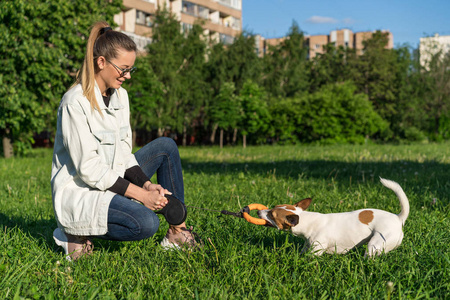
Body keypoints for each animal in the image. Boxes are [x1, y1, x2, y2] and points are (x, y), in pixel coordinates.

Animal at [256, 178, 408, 258]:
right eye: (273, 207)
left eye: (272, 215)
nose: (258, 212)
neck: (307, 220)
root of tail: (398, 218)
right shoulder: (307, 245)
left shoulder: (317, 249)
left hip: (375, 244)